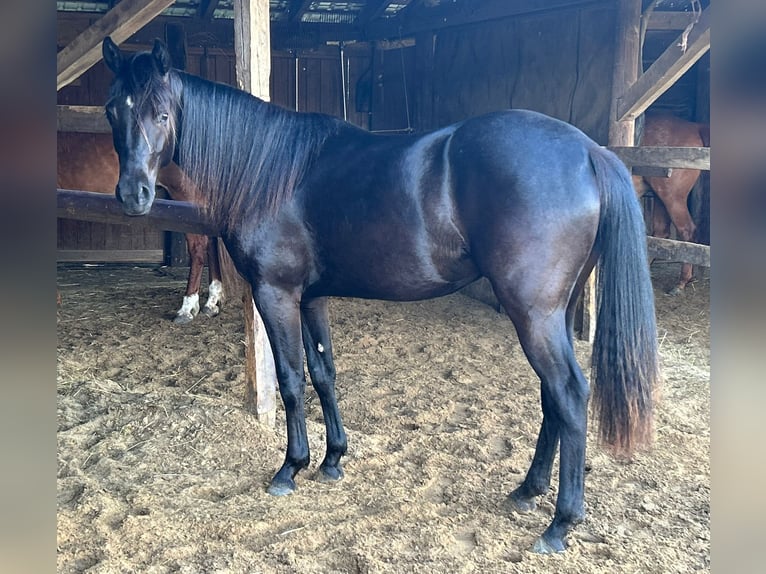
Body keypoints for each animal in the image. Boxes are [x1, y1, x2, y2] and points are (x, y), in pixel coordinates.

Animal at [102, 38, 660, 556]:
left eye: (162, 113)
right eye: (112, 109)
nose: (133, 196)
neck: (270, 171)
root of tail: (588, 151)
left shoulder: (276, 294)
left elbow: (289, 379)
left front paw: (290, 468)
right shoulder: (312, 298)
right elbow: (323, 372)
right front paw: (332, 460)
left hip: (533, 314)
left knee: (569, 393)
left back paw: (560, 523)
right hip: (553, 314)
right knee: (552, 396)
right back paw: (527, 491)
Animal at [632, 114, 712, 294]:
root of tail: (694, 127)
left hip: (672, 198)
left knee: (687, 232)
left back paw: (681, 283)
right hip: (660, 197)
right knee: (660, 234)